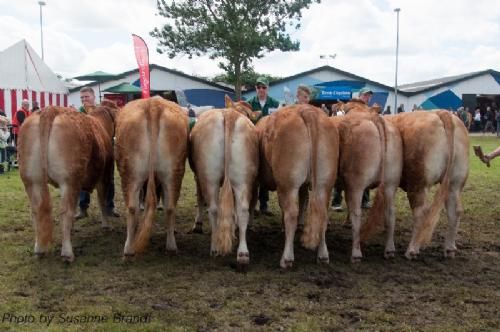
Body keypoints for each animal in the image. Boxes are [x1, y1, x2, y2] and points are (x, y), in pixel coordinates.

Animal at [17, 101, 118, 262]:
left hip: (32, 180)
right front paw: (107, 225)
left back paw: (39, 249)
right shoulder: (104, 176)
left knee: (37, 210)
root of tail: (50, 110)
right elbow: (102, 201)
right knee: (65, 211)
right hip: (69, 180)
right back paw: (67, 253)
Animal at [114, 96, 188, 256]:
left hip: (130, 172)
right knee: (170, 207)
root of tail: (154, 104)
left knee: (132, 207)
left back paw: (128, 248)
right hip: (173, 172)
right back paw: (171, 245)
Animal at [188, 96, 258, 268]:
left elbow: (199, 198)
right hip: (243, 177)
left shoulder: (198, 176)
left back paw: (215, 248)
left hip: (208, 176)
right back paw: (243, 254)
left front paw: (197, 224)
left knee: (213, 209)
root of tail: (229, 115)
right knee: (242, 210)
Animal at [254, 105, 340, 268]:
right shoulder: (304, 185)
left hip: (288, 183)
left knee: (291, 213)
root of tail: (307, 111)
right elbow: (304, 199)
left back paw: (287, 258)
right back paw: (323, 255)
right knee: (322, 214)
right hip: (324, 183)